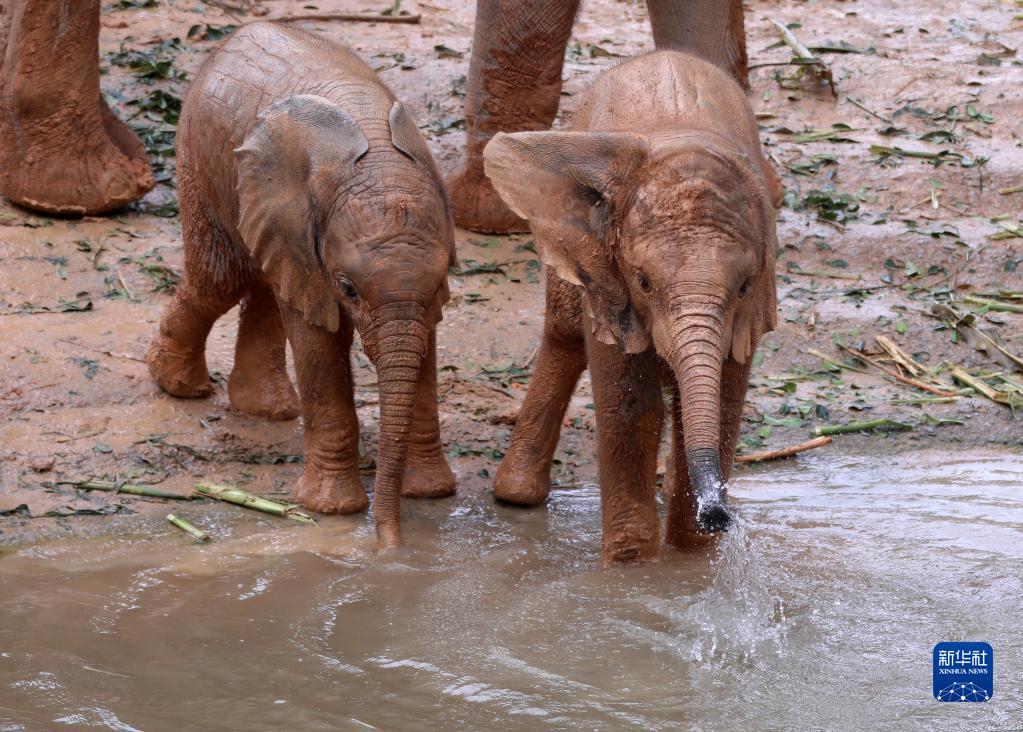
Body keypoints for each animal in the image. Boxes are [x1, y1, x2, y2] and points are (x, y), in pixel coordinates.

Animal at [148, 22, 456, 547]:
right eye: (348, 289)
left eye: (440, 285)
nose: (390, 548)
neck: (378, 166)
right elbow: (319, 345)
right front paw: (331, 509)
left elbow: (425, 348)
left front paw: (432, 493)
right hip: (200, 155)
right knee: (220, 280)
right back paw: (179, 387)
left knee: (264, 283)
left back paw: (268, 410)